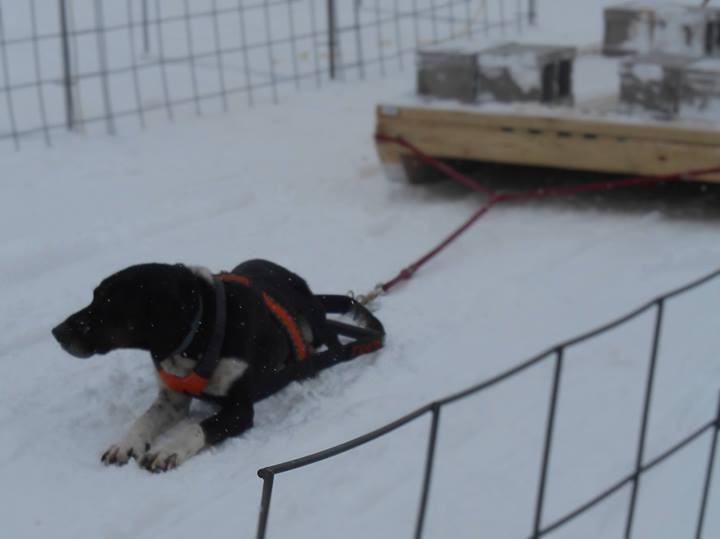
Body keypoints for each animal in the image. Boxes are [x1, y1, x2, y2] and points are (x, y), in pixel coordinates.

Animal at [52, 260, 382, 470]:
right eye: (94, 297)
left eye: (108, 305)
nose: (56, 331)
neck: (202, 330)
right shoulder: (172, 399)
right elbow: (144, 420)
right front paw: (126, 443)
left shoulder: (240, 410)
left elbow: (199, 428)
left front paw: (168, 450)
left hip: (315, 322)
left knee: (332, 344)